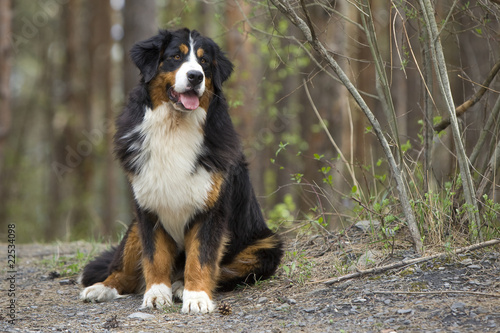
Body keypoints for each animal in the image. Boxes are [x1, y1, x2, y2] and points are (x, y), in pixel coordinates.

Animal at [79, 28, 284, 314]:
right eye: (176, 56)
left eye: (204, 62)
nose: (195, 76)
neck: (174, 128)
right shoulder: (148, 207)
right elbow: (154, 257)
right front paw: (156, 294)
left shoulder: (210, 209)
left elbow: (202, 258)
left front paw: (196, 297)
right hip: (134, 229)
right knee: (124, 273)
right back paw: (102, 288)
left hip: (265, 247)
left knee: (225, 269)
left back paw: (180, 286)